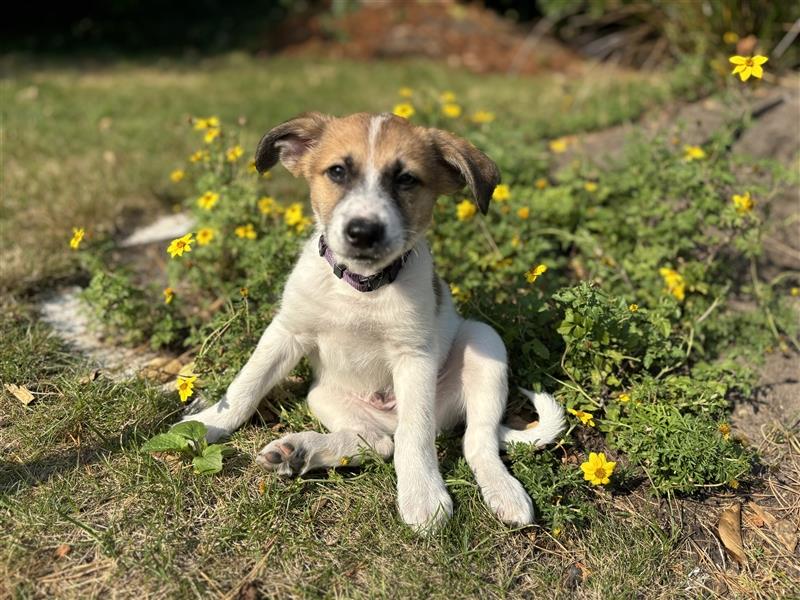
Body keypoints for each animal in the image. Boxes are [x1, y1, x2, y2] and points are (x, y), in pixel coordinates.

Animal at [185, 112, 564, 528]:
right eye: (337, 172)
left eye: (406, 179)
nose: (363, 232)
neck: (361, 288)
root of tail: (387, 414)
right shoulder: (287, 332)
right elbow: (245, 388)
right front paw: (206, 423)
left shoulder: (414, 357)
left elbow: (416, 436)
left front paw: (422, 495)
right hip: (323, 395)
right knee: (380, 442)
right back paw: (299, 451)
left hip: (484, 344)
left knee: (472, 441)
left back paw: (504, 492)